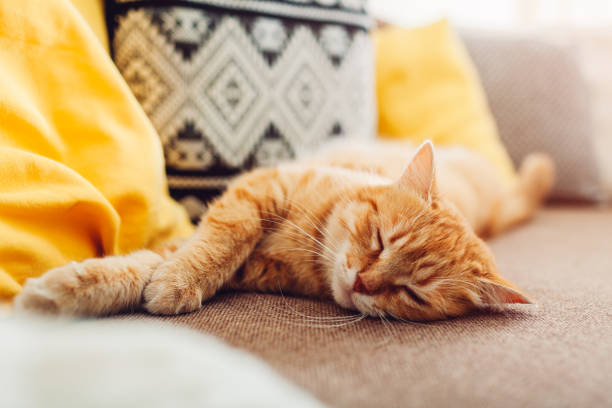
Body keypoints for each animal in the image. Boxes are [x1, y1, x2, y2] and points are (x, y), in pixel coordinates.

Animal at [14, 142, 556, 320]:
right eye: (380, 240)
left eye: (412, 294)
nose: (363, 282)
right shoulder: (258, 190)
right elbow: (217, 239)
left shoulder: (248, 267)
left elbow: (153, 264)